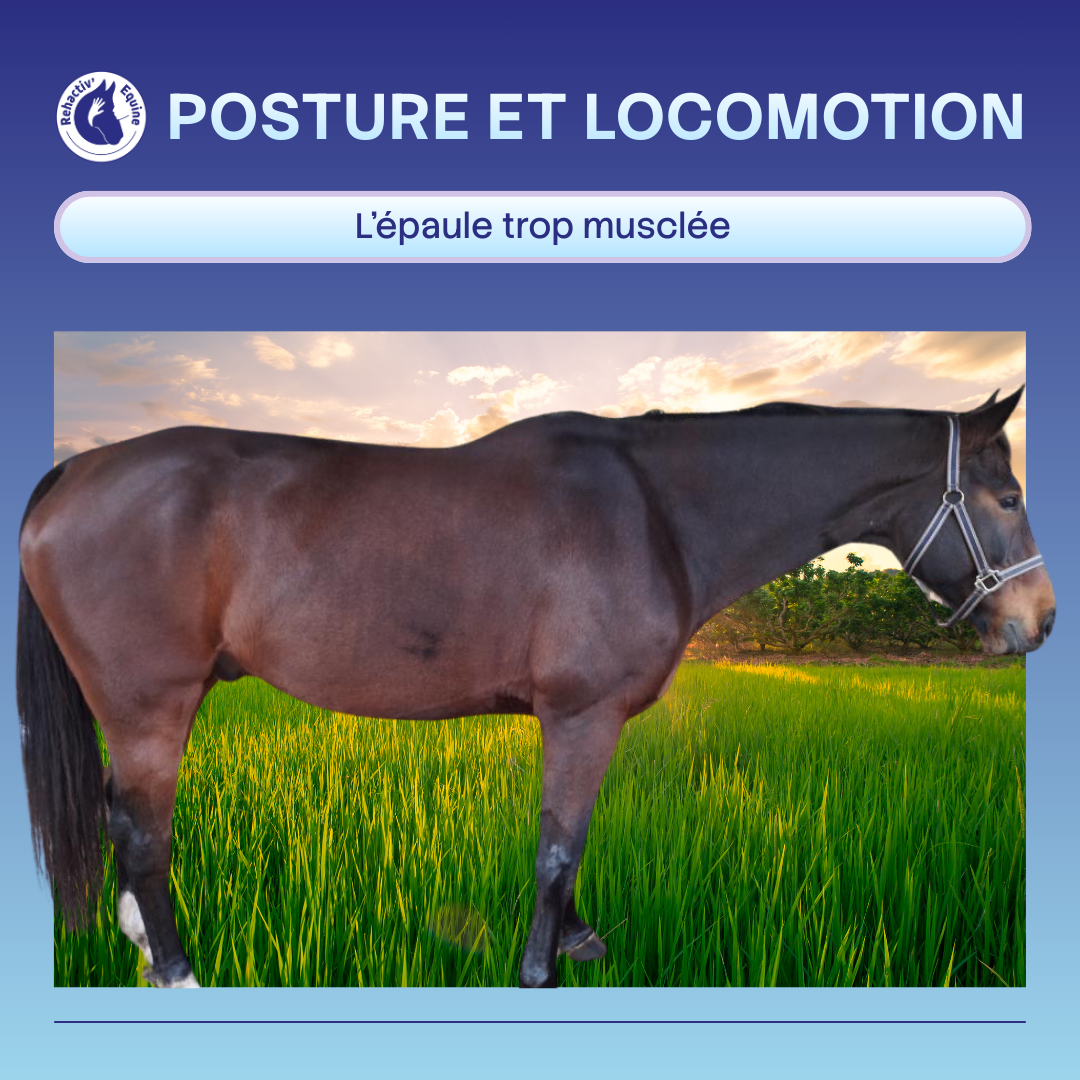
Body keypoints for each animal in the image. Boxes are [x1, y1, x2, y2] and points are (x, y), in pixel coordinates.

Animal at [17, 387, 1054, 989]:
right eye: (1007, 497)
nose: (1037, 621)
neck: (658, 511)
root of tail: (75, 469)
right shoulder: (583, 715)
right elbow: (561, 845)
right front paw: (541, 966)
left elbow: (566, 842)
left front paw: (579, 942)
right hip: (150, 706)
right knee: (142, 834)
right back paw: (177, 972)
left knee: (121, 821)